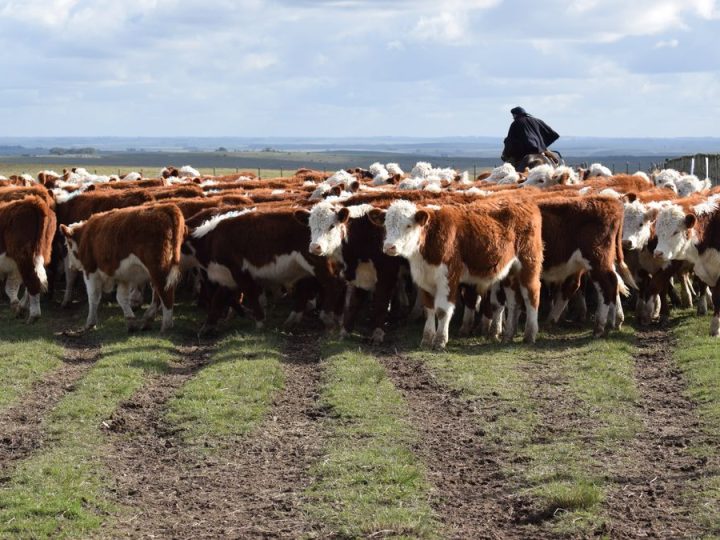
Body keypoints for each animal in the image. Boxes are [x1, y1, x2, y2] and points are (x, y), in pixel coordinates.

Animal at [59, 204, 186, 332]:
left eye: (68, 244)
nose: (71, 265)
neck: (86, 235)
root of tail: (165, 207)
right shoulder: (123, 278)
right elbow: (121, 298)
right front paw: (130, 321)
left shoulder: (90, 271)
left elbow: (93, 297)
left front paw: (90, 323)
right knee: (159, 294)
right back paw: (147, 320)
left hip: (158, 269)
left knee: (165, 292)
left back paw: (166, 326)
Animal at [369, 199, 543, 348]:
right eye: (386, 225)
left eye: (408, 225)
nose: (389, 247)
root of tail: (523, 202)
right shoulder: (425, 279)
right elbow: (429, 309)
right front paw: (427, 339)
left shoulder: (448, 277)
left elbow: (442, 310)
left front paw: (440, 341)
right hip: (509, 272)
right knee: (514, 302)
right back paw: (508, 336)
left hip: (529, 264)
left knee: (531, 295)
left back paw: (529, 335)